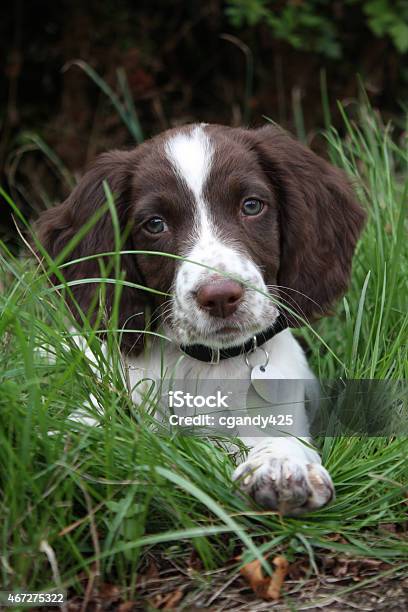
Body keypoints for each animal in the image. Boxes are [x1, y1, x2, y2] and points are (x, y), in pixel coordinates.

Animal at [36, 122, 364, 512]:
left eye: (251, 205)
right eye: (155, 224)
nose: (220, 296)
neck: (208, 364)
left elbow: (281, 438)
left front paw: (282, 465)